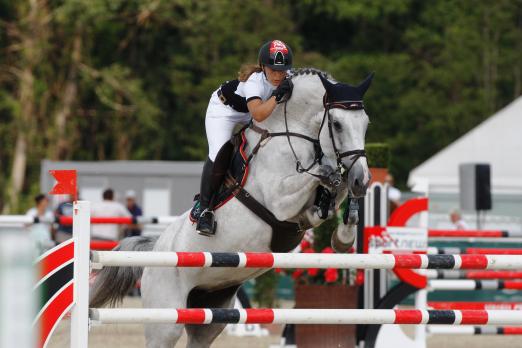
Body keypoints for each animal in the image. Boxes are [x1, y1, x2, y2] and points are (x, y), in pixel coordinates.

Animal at [91, 68, 372, 348]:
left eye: (366, 123)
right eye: (337, 124)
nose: (363, 179)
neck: (290, 135)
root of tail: (156, 248)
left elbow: (334, 191)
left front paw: (344, 237)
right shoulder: (280, 201)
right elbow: (322, 177)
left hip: (212, 313)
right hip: (165, 321)